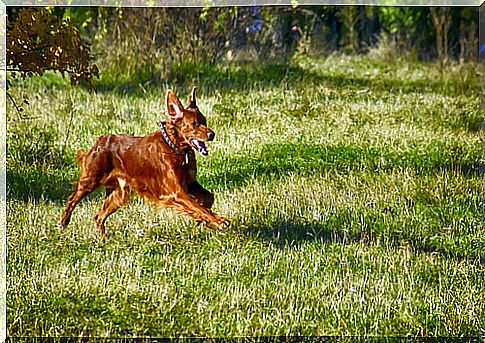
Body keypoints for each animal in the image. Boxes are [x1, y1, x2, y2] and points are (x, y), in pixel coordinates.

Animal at [58, 87, 229, 238]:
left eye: (204, 121)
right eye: (194, 124)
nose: (212, 134)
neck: (175, 148)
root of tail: (100, 141)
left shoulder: (190, 183)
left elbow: (208, 198)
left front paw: (204, 221)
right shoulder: (176, 191)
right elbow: (197, 206)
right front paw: (218, 221)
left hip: (119, 194)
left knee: (98, 217)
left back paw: (103, 239)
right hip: (91, 180)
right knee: (72, 199)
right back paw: (63, 222)